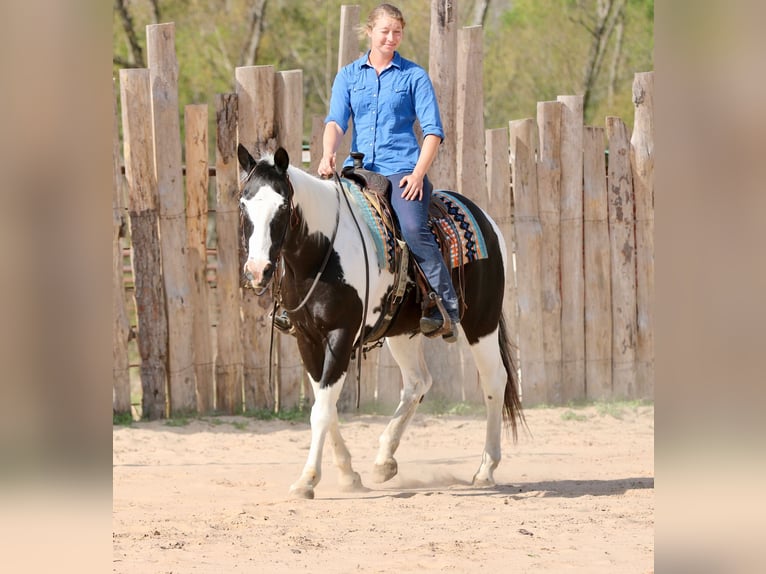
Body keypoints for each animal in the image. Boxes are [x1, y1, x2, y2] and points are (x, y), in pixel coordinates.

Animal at [237, 145, 525, 499]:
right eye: (243, 203)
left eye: (282, 206)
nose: (257, 270)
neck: (321, 251)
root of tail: (485, 219)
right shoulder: (307, 338)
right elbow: (325, 403)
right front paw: (348, 474)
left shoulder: (341, 335)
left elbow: (322, 410)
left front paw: (307, 479)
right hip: (402, 332)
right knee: (417, 383)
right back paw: (384, 460)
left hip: (482, 324)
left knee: (494, 382)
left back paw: (485, 469)